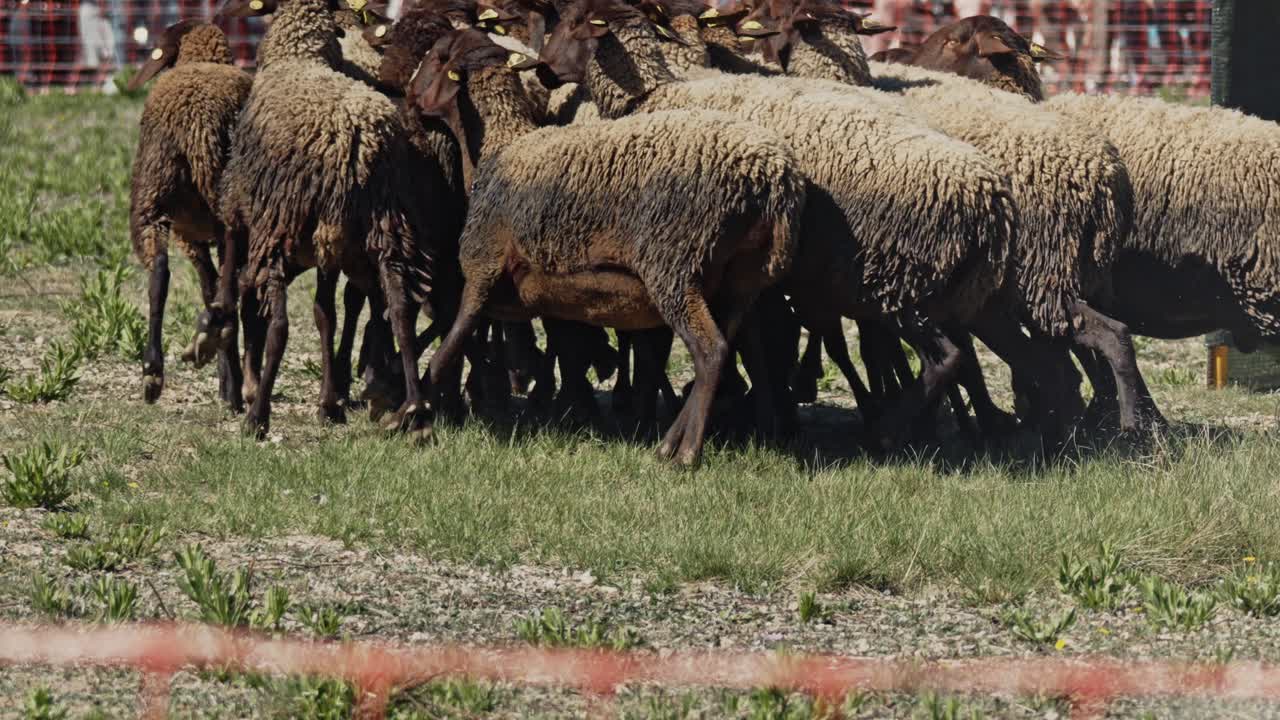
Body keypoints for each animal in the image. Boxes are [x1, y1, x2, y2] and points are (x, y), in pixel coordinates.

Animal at [126, 20, 251, 409]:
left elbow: (206, 284)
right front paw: (229, 383)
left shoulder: (190, 237)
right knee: (225, 273)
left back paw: (155, 370)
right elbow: (211, 285)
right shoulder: (196, 237)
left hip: (152, 202)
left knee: (159, 274)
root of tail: (196, 124)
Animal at [207, 0, 454, 441]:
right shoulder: (329, 244)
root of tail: (354, 136)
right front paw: (330, 403)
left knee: (280, 324)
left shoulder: (243, 201)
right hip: (385, 222)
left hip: (283, 223)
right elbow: (328, 314)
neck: (298, 55)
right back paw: (414, 412)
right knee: (399, 308)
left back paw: (258, 416)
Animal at [410, 28, 808, 465]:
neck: (497, 149)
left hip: (676, 268)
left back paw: (686, 454)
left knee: (712, 351)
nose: (408, 97)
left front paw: (416, 417)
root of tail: (773, 179)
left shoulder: (481, 269)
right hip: (739, 282)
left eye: (436, 58)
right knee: (734, 347)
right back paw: (679, 443)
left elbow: (449, 346)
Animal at [539, 0, 1019, 447]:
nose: (542, 70)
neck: (656, 93)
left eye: (572, 22)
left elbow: (750, 344)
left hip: (898, 286)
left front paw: (762, 419)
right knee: (961, 356)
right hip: (944, 289)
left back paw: (888, 432)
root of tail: (989, 199)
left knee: (946, 358)